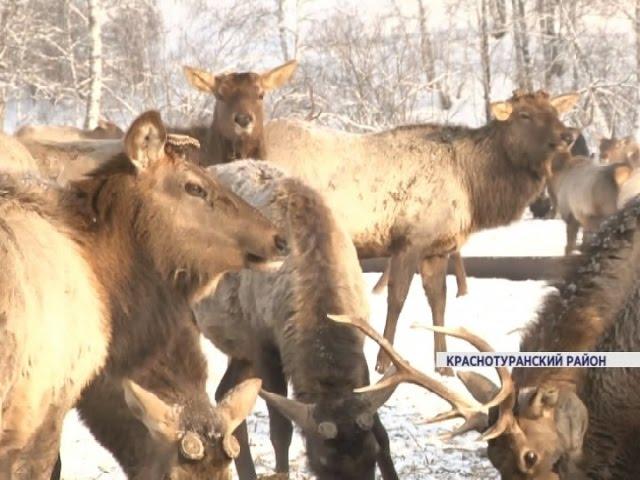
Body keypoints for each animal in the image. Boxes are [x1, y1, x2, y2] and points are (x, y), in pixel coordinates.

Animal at [192, 160, 398, 480]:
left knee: (224, 393)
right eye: (321, 462)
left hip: (238, 349)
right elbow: (281, 431)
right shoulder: (264, 344)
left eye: (372, 456)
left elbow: (381, 425)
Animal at [258, 89, 580, 376]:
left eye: (555, 111)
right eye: (524, 115)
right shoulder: (410, 240)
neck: (474, 189)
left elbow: (439, 300)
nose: (568, 135)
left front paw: (444, 365)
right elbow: (397, 299)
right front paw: (384, 362)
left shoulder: (436, 248)